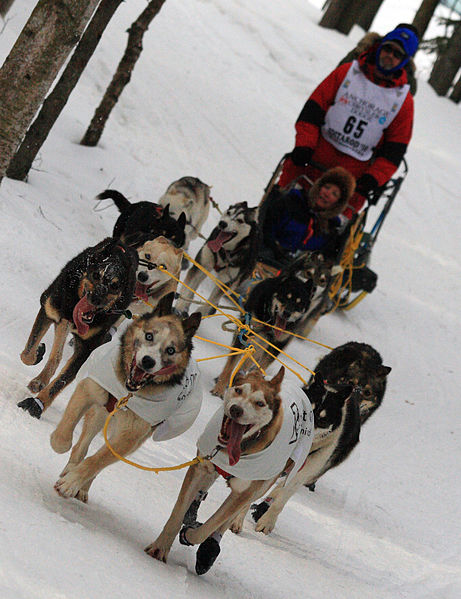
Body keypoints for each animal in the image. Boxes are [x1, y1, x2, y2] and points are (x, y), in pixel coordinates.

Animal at [18, 238, 137, 418]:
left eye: (115, 285)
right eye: (96, 275)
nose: (96, 299)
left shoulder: (87, 348)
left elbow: (62, 380)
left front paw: (37, 404)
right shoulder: (48, 310)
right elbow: (28, 353)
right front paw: (37, 353)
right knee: (55, 355)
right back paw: (41, 377)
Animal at [49, 296, 201, 506]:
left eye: (170, 350)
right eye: (149, 336)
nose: (148, 361)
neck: (127, 393)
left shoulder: (130, 436)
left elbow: (97, 461)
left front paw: (72, 482)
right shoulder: (89, 390)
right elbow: (66, 429)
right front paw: (60, 446)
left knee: (100, 460)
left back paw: (80, 485)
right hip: (99, 414)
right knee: (82, 445)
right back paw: (71, 467)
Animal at [146, 368, 314, 580]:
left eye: (260, 403)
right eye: (239, 390)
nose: (236, 410)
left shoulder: (243, 492)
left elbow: (209, 527)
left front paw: (192, 534)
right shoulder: (201, 466)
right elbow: (177, 513)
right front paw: (160, 547)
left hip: (262, 484)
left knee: (236, 512)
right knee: (205, 490)